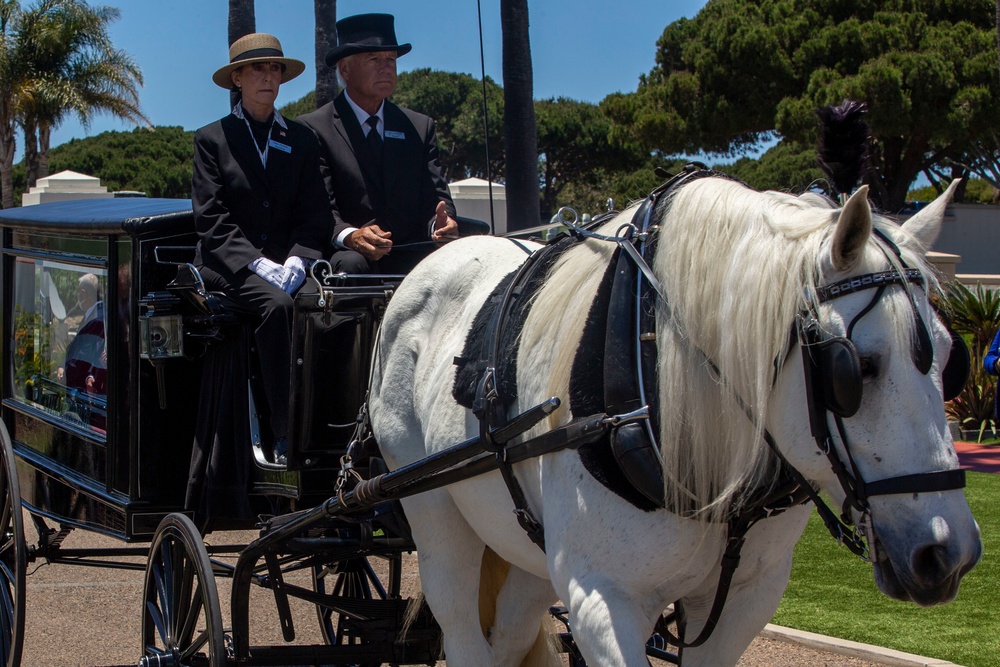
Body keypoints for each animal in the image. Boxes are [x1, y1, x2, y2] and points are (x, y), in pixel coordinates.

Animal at [370, 175, 984, 664]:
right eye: (855, 369)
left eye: (952, 360)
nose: (948, 553)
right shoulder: (602, 596)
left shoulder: (744, 599)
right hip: (434, 510)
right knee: (461, 626)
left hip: (521, 543)